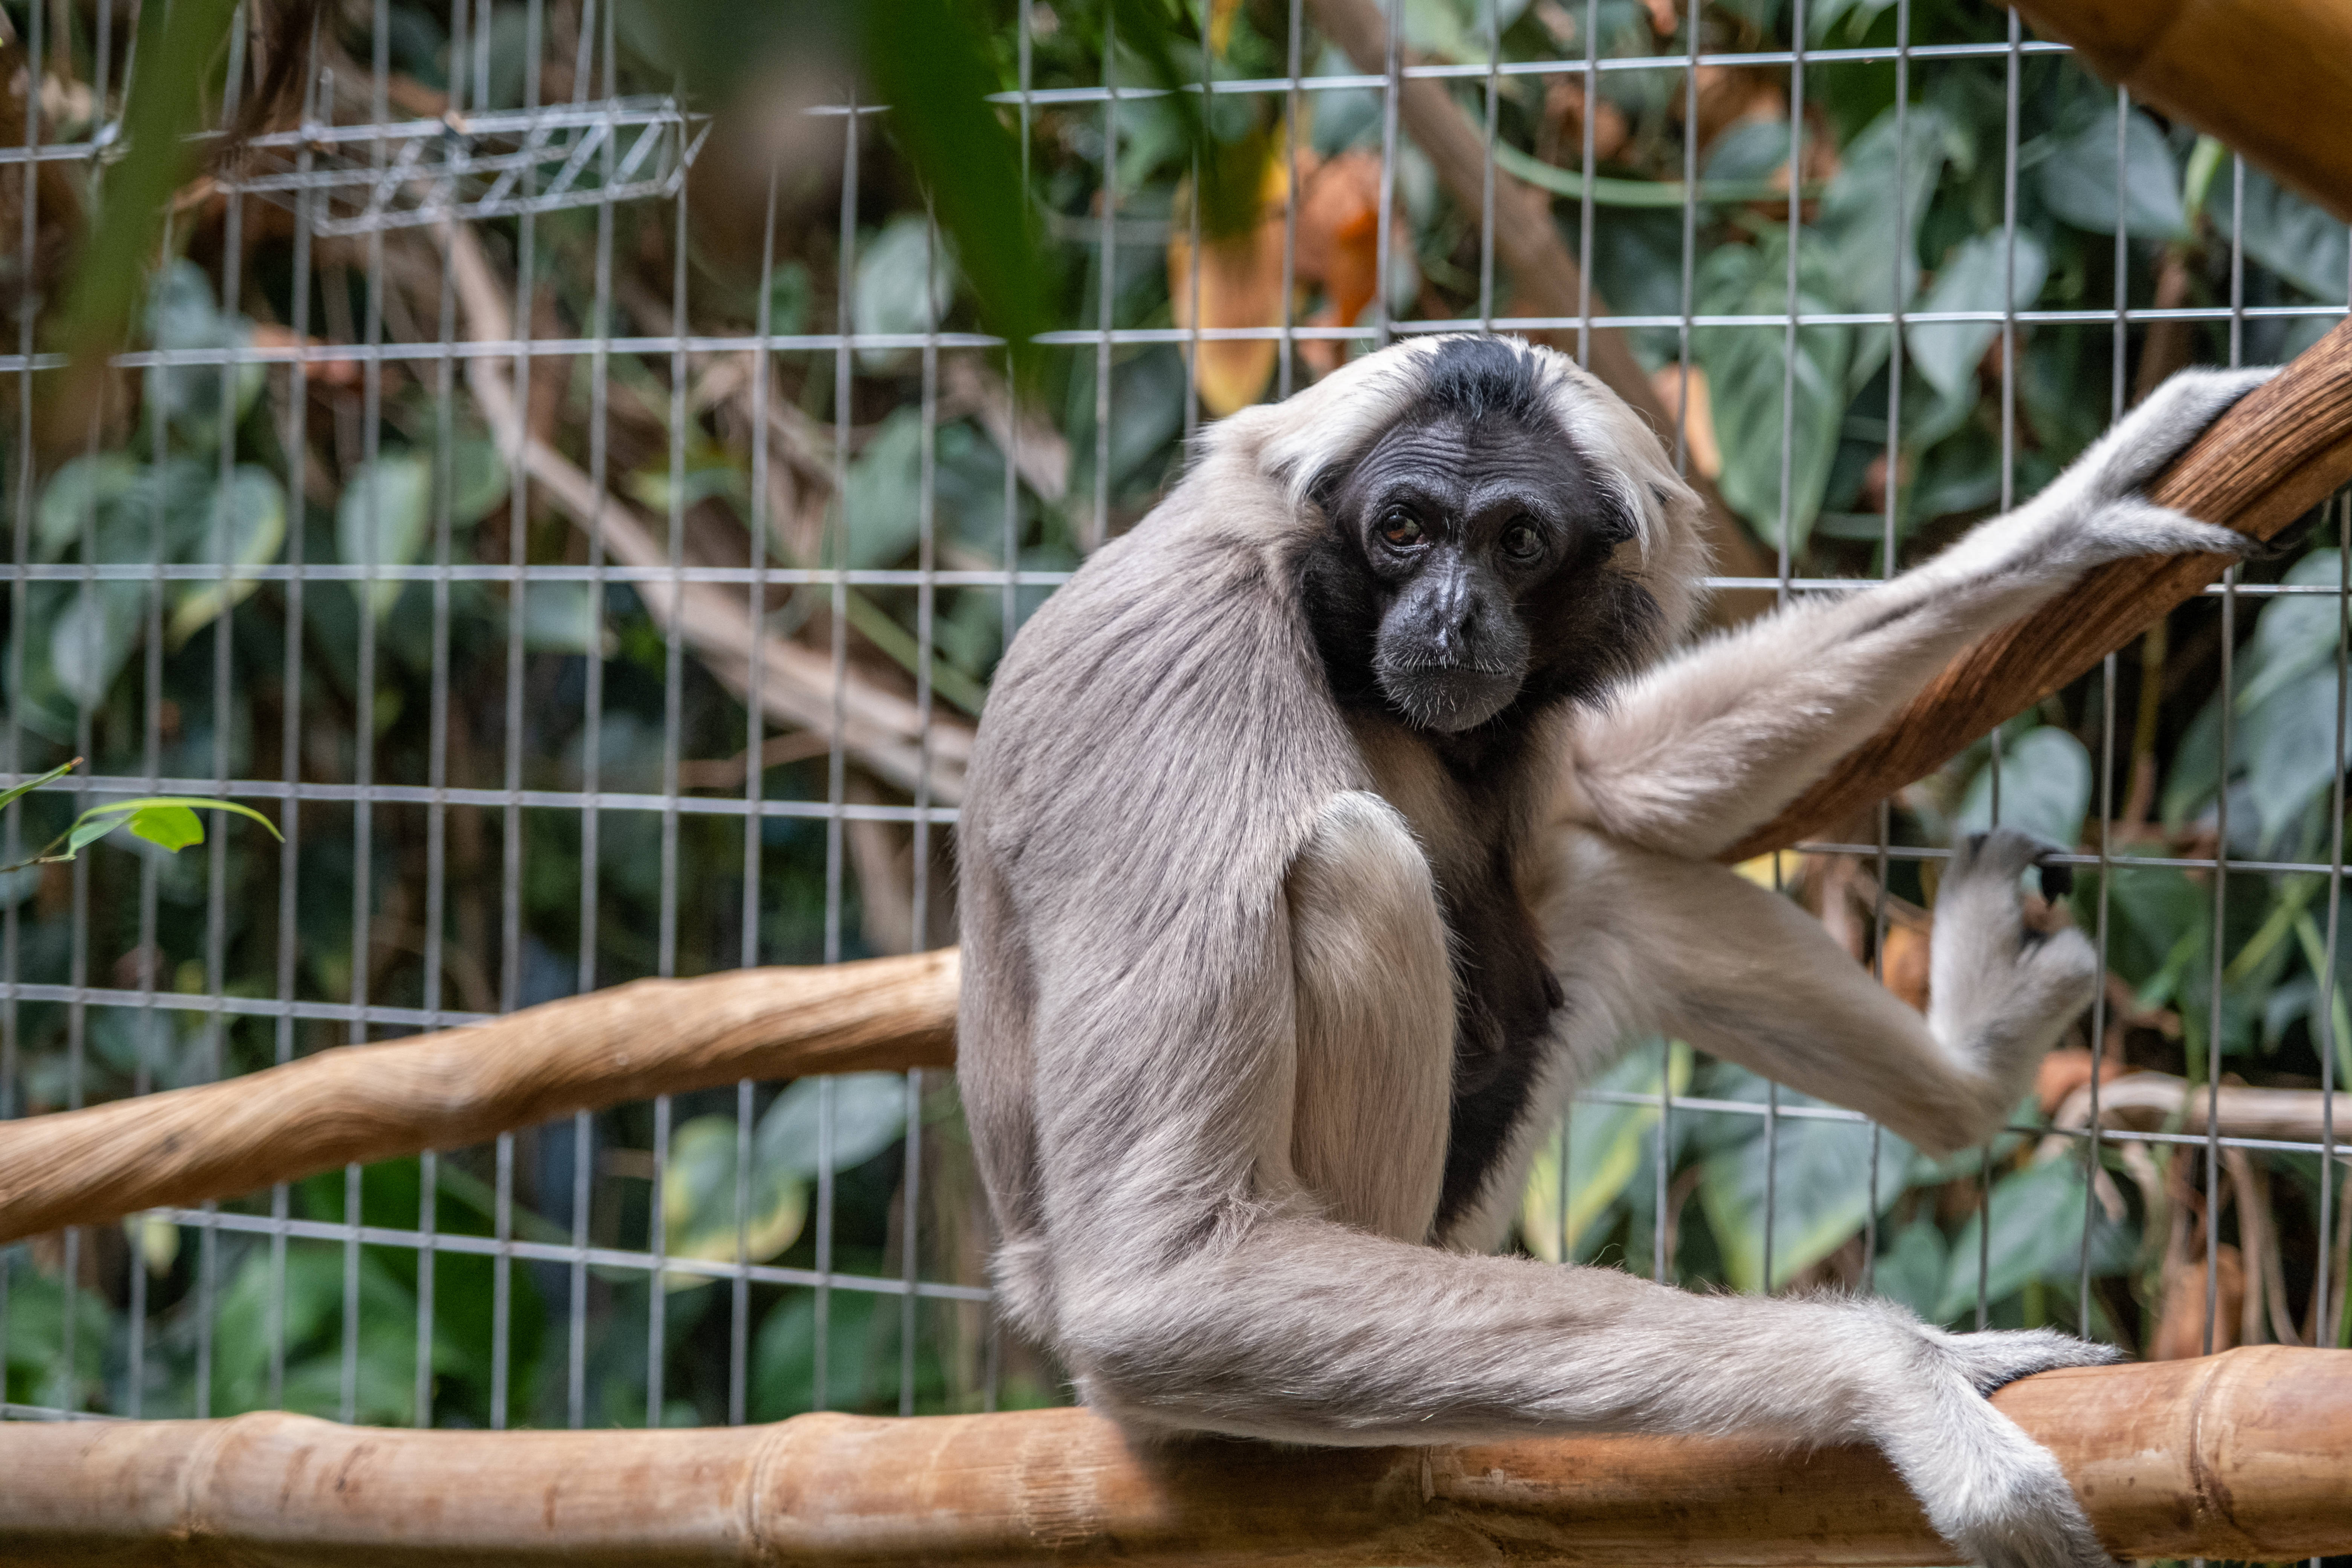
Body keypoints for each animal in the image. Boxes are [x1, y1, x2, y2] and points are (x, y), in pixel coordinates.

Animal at [955, 332, 2270, 1568]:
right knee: (1352, 861)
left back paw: (1970, 1079)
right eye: (1402, 530)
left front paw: (2069, 518)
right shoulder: (1180, 664)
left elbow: (1604, 794)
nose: (1452, 612)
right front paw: (1895, 1367)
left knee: (1598, 889)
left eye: (1518, 542)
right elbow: (1165, 1281)